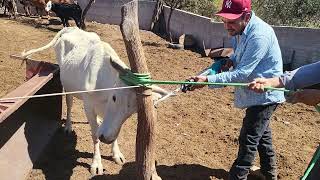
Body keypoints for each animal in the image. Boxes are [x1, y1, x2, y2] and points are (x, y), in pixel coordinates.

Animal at [21, 27, 169, 175]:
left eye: (134, 109)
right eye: (114, 97)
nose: (106, 138)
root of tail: (70, 28)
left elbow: (113, 133)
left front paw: (116, 154)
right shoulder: (88, 106)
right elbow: (94, 135)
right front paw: (97, 163)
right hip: (68, 87)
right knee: (69, 105)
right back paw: (68, 126)